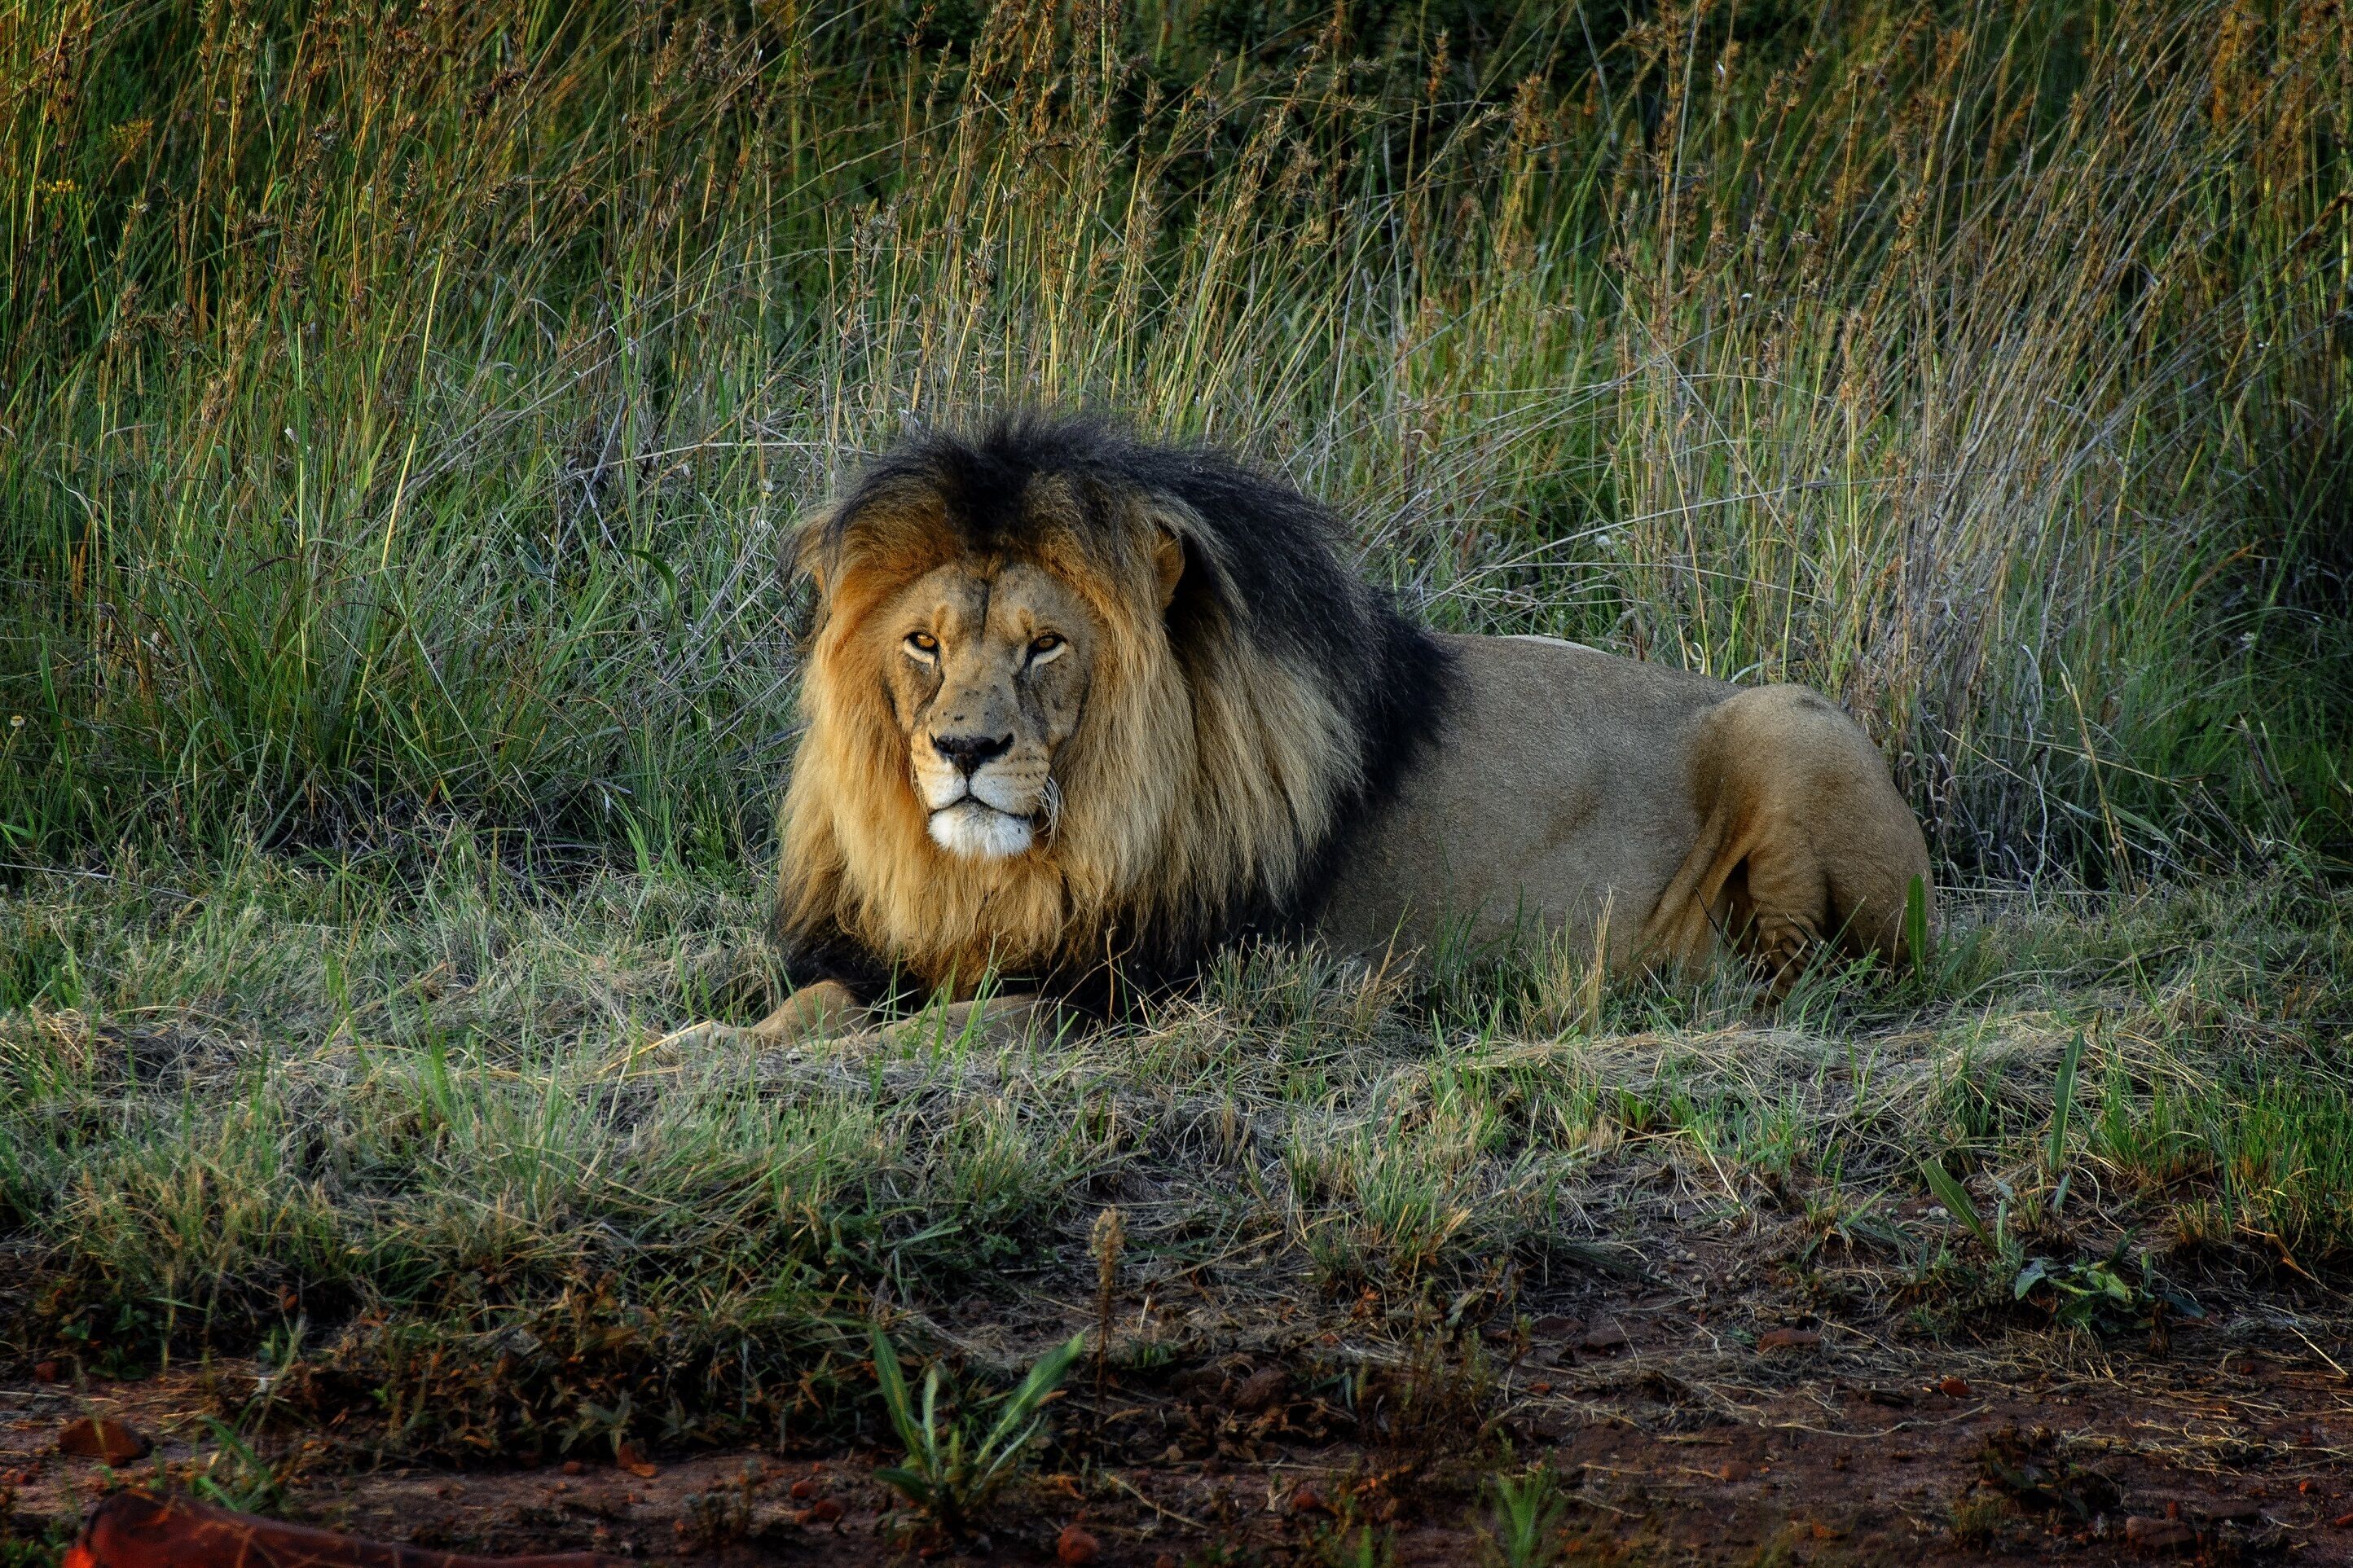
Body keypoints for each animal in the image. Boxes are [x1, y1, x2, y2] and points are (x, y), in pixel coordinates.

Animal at [667, 415, 1931, 1047]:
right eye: (924, 643)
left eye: (1046, 646)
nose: (964, 751)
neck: (1003, 874)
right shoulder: (879, 952)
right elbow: (807, 1007)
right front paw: (680, 1047)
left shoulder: (1137, 985)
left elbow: (944, 1033)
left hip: (1791, 722)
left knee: (1814, 973)